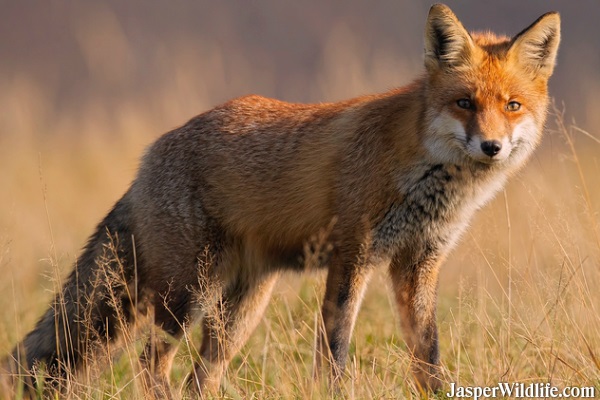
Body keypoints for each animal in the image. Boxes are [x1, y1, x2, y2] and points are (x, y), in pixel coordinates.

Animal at [2, 3, 560, 396]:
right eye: (465, 103)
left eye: (512, 106)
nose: (491, 146)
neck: (425, 174)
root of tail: (150, 155)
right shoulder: (352, 252)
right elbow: (334, 351)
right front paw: (334, 393)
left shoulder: (419, 262)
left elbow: (429, 356)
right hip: (187, 293)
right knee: (150, 364)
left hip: (239, 311)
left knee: (198, 378)